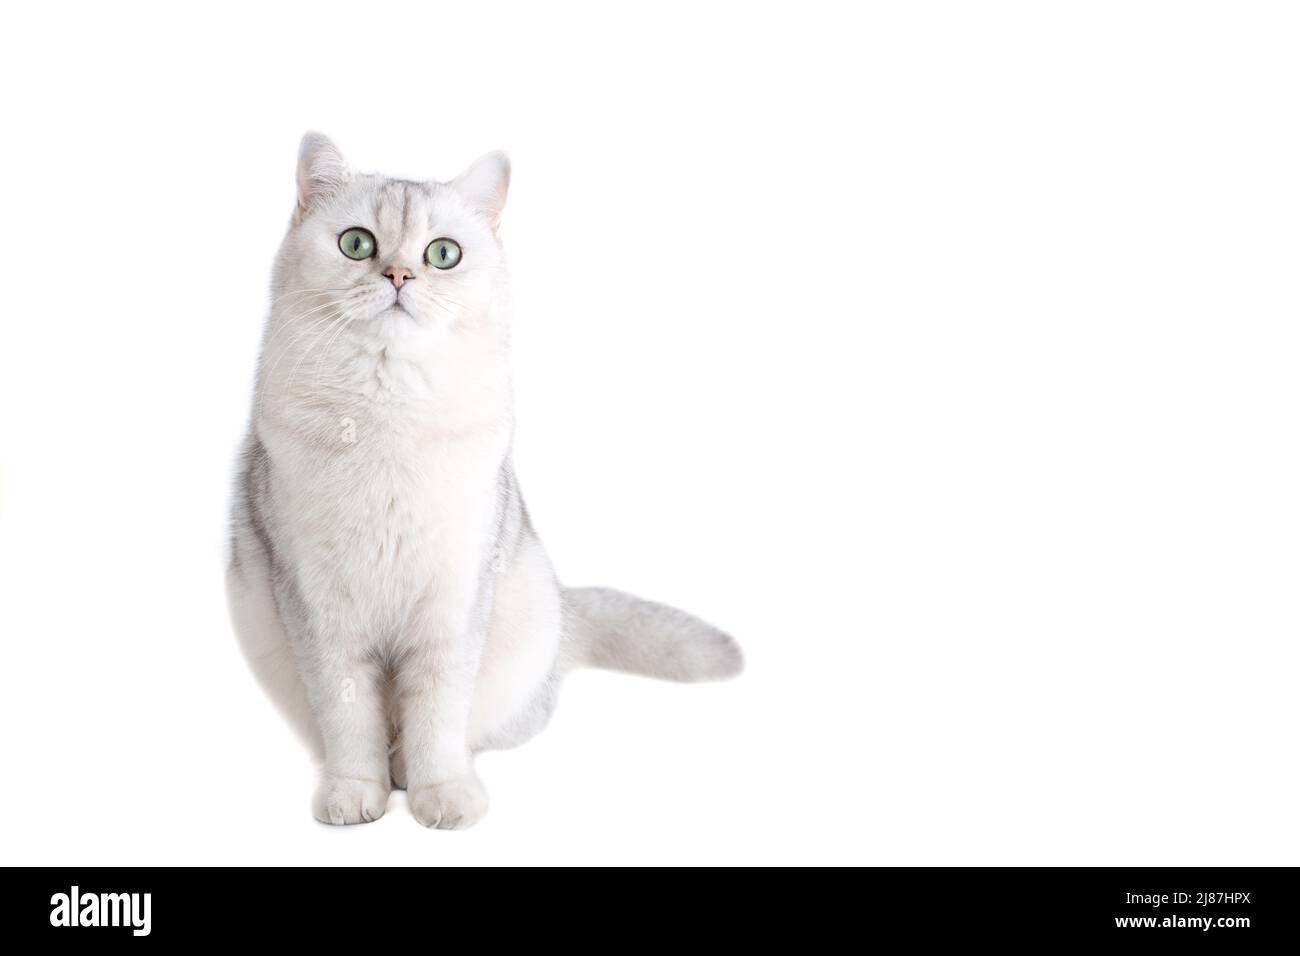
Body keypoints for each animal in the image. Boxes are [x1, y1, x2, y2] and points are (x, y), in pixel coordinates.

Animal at [223, 134, 743, 832]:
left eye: (442, 254)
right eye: (356, 244)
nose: (399, 277)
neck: (387, 416)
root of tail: (566, 612)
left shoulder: (454, 601)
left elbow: (437, 718)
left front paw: (441, 795)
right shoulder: (319, 609)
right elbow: (349, 717)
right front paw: (355, 794)